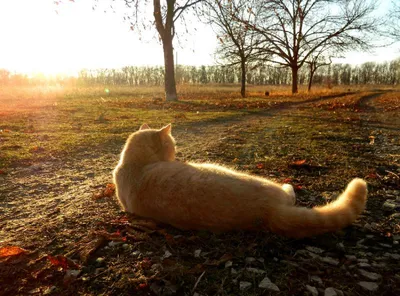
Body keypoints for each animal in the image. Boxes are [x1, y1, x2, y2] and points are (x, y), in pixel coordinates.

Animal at [113, 123, 368, 238]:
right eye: (172, 145)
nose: (176, 154)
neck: (134, 164)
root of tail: (270, 212)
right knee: (290, 194)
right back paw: (289, 186)